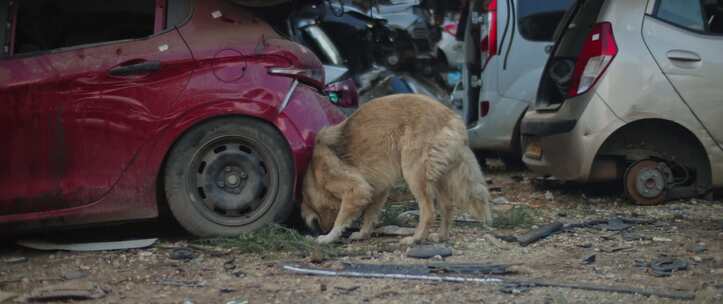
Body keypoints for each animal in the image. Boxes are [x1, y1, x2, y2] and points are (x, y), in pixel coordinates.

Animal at [298, 93, 492, 245]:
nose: (320, 230)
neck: (314, 176)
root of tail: (454, 119)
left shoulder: (356, 188)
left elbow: (341, 218)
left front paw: (328, 237)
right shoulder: (377, 189)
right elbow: (370, 214)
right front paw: (363, 234)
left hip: (414, 173)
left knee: (429, 211)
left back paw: (416, 238)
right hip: (438, 177)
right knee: (447, 207)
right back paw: (441, 236)